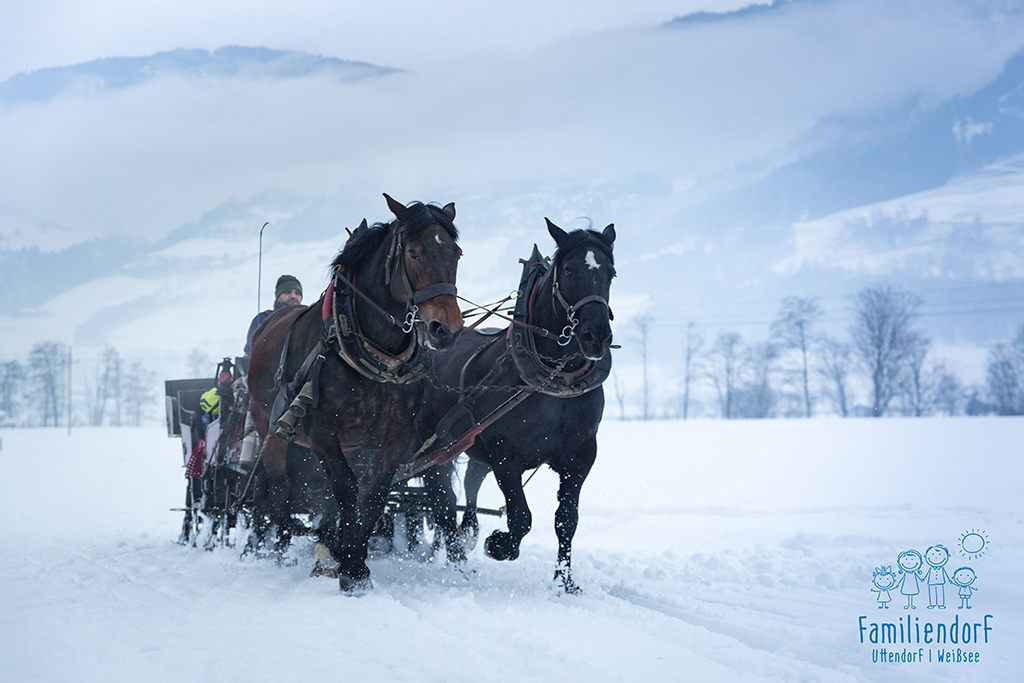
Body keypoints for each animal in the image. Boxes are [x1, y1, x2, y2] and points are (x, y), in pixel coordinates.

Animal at [245, 194, 462, 589]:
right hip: (270, 427)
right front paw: (349, 565)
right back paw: (280, 551)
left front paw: (352, 560)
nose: (446, 328)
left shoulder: (392, 440)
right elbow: (346, 488)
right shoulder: (323, 434)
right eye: (414, 251)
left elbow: (372, 495)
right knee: (279, 491)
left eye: (456, 253)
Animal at [415, 219, 614, 593]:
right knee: (442, 501)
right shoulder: (505, 453)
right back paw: (457, 558)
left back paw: (465, 538)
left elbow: (567, 519)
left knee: (469, 484)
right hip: (435, 449)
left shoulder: (581, 455)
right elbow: (521, 516)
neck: (553, 379)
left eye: (610, 272)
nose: (596, 337)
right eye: (569, 270)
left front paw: (564, 582)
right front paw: (499, 544)